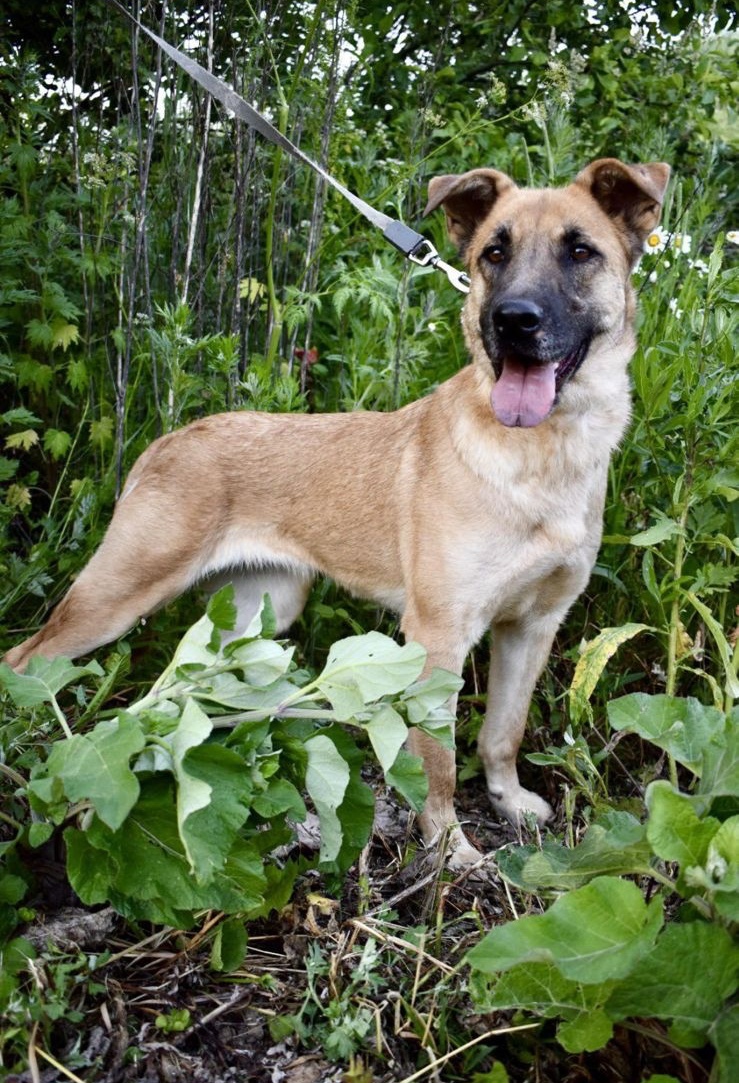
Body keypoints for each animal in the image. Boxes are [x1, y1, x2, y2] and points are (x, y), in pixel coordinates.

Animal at [4, 160, 667, 866]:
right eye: (494, 253)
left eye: (580, 252)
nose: (512, 320)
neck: (543, 456)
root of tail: (171, 440)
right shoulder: (438, 637)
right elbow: (435, 761)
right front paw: (448, 849)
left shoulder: (533, 626)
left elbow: (502, 733)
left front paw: (509, 802)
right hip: (117, 595)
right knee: (25, 659)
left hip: (261, 613)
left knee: (189, 685)